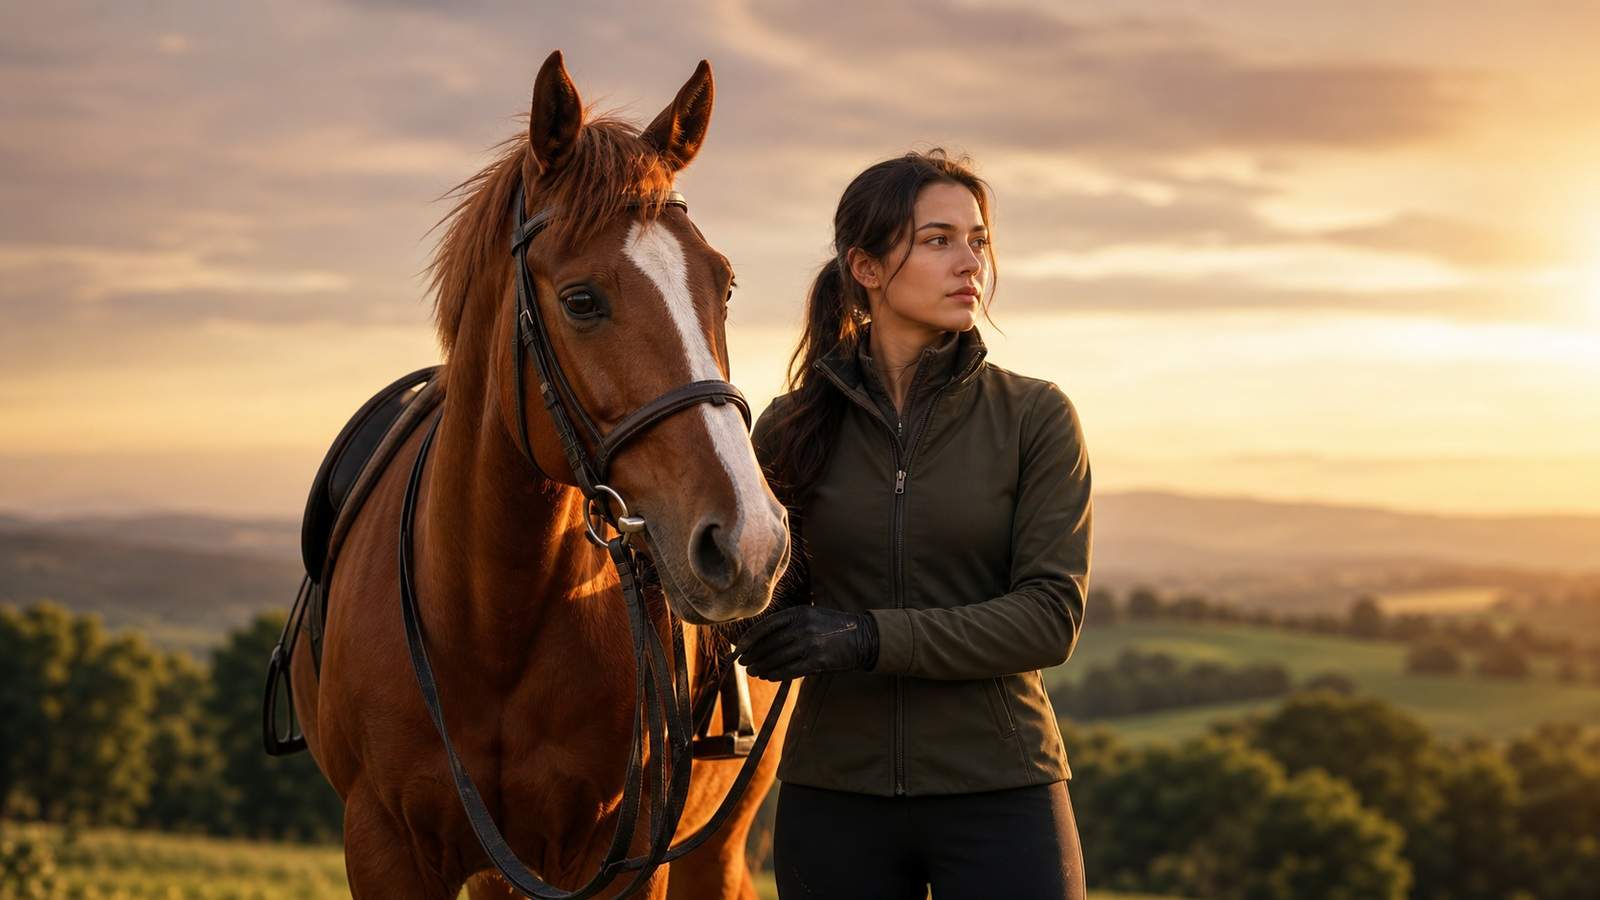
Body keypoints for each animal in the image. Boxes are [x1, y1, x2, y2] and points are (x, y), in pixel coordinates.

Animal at [287, 51, 793, 899]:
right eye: (582, 300)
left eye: (721, 283)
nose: (750, 542)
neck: (491, 617)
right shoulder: (384, 843)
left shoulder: (615, 857)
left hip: (716, 845)